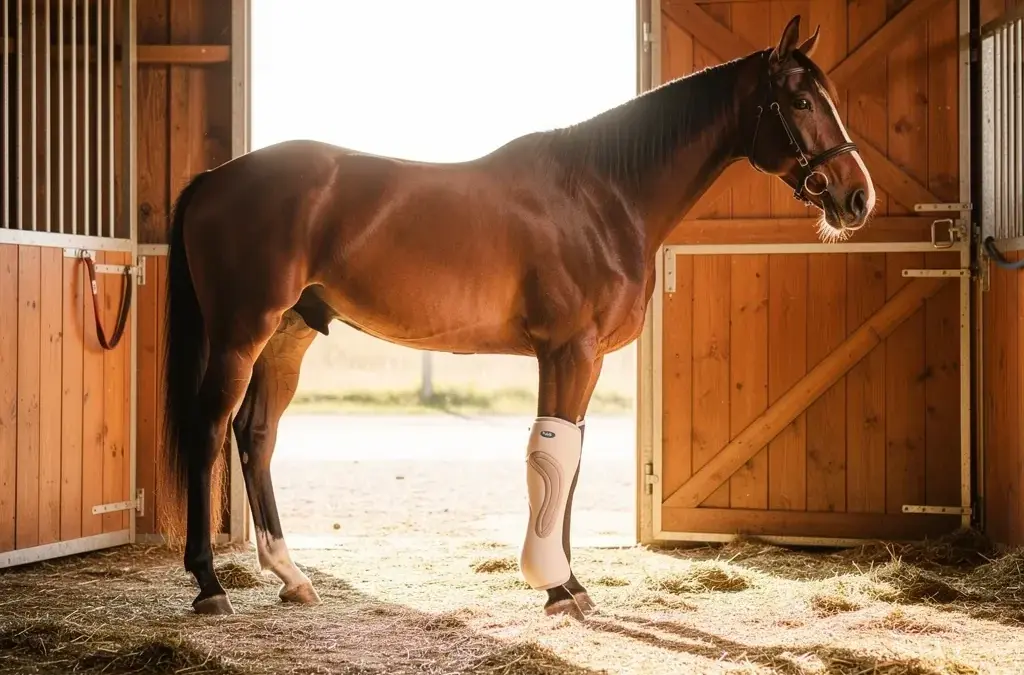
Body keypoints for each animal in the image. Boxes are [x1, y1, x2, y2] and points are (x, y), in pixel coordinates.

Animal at [158, 14, 875, 620]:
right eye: (801, 102)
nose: (856, 197)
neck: (603, 195)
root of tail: (214, 178)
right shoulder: (568, 350)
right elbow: (552, 457)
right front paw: (557, 588)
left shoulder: (583, 358)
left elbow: (571, 461)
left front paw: (571, 584)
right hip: (241, 333)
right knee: (210, 431)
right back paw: (211, 585)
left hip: (288, 335)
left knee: (256, 436)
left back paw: (291, 575)